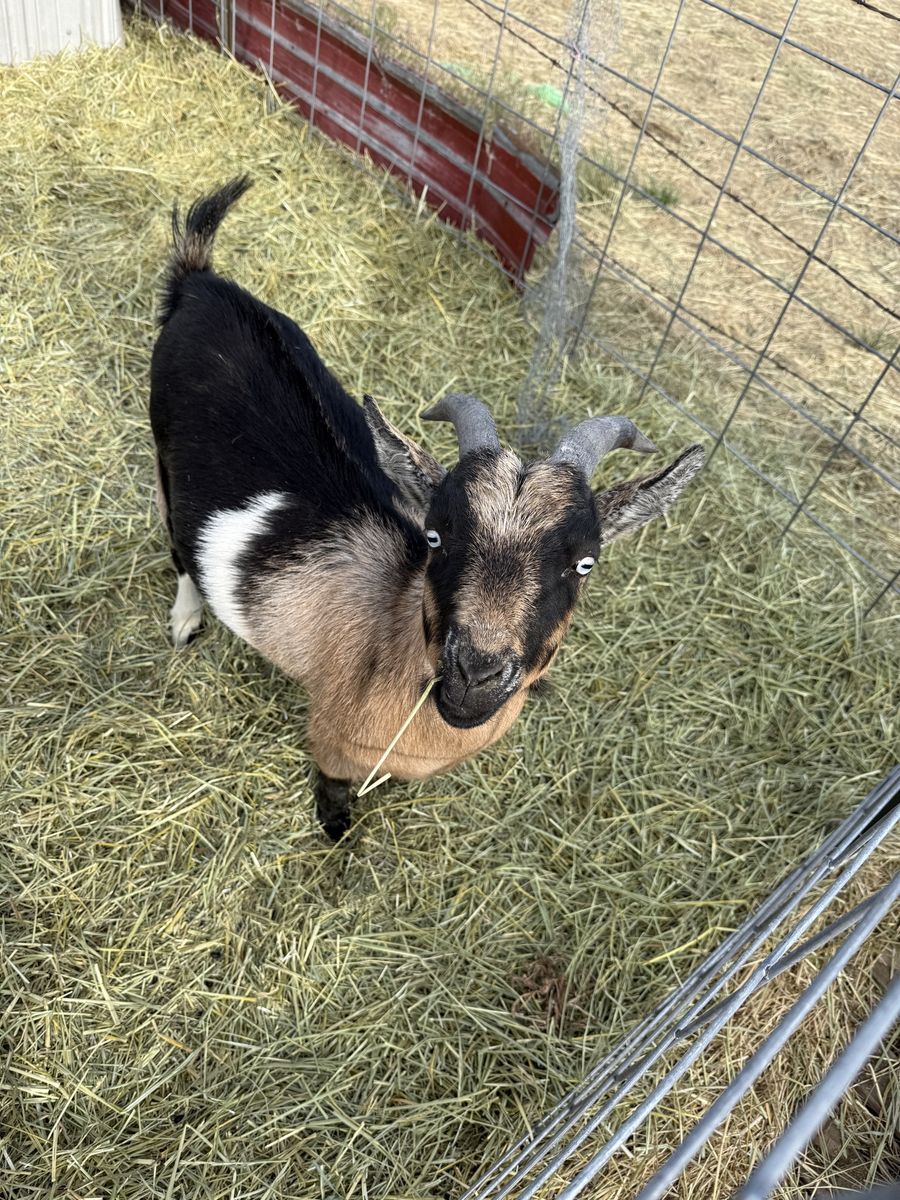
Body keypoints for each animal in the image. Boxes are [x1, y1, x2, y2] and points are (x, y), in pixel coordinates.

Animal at [150, 178, 705, 839]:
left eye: (585, 563)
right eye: (437, 536)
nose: (475, 677)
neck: (390, 626)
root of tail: (200, 281)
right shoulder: (332, 743)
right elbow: (335, 798)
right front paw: (336, 833)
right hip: (161, 450)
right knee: (178, 541)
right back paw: (186, 620)